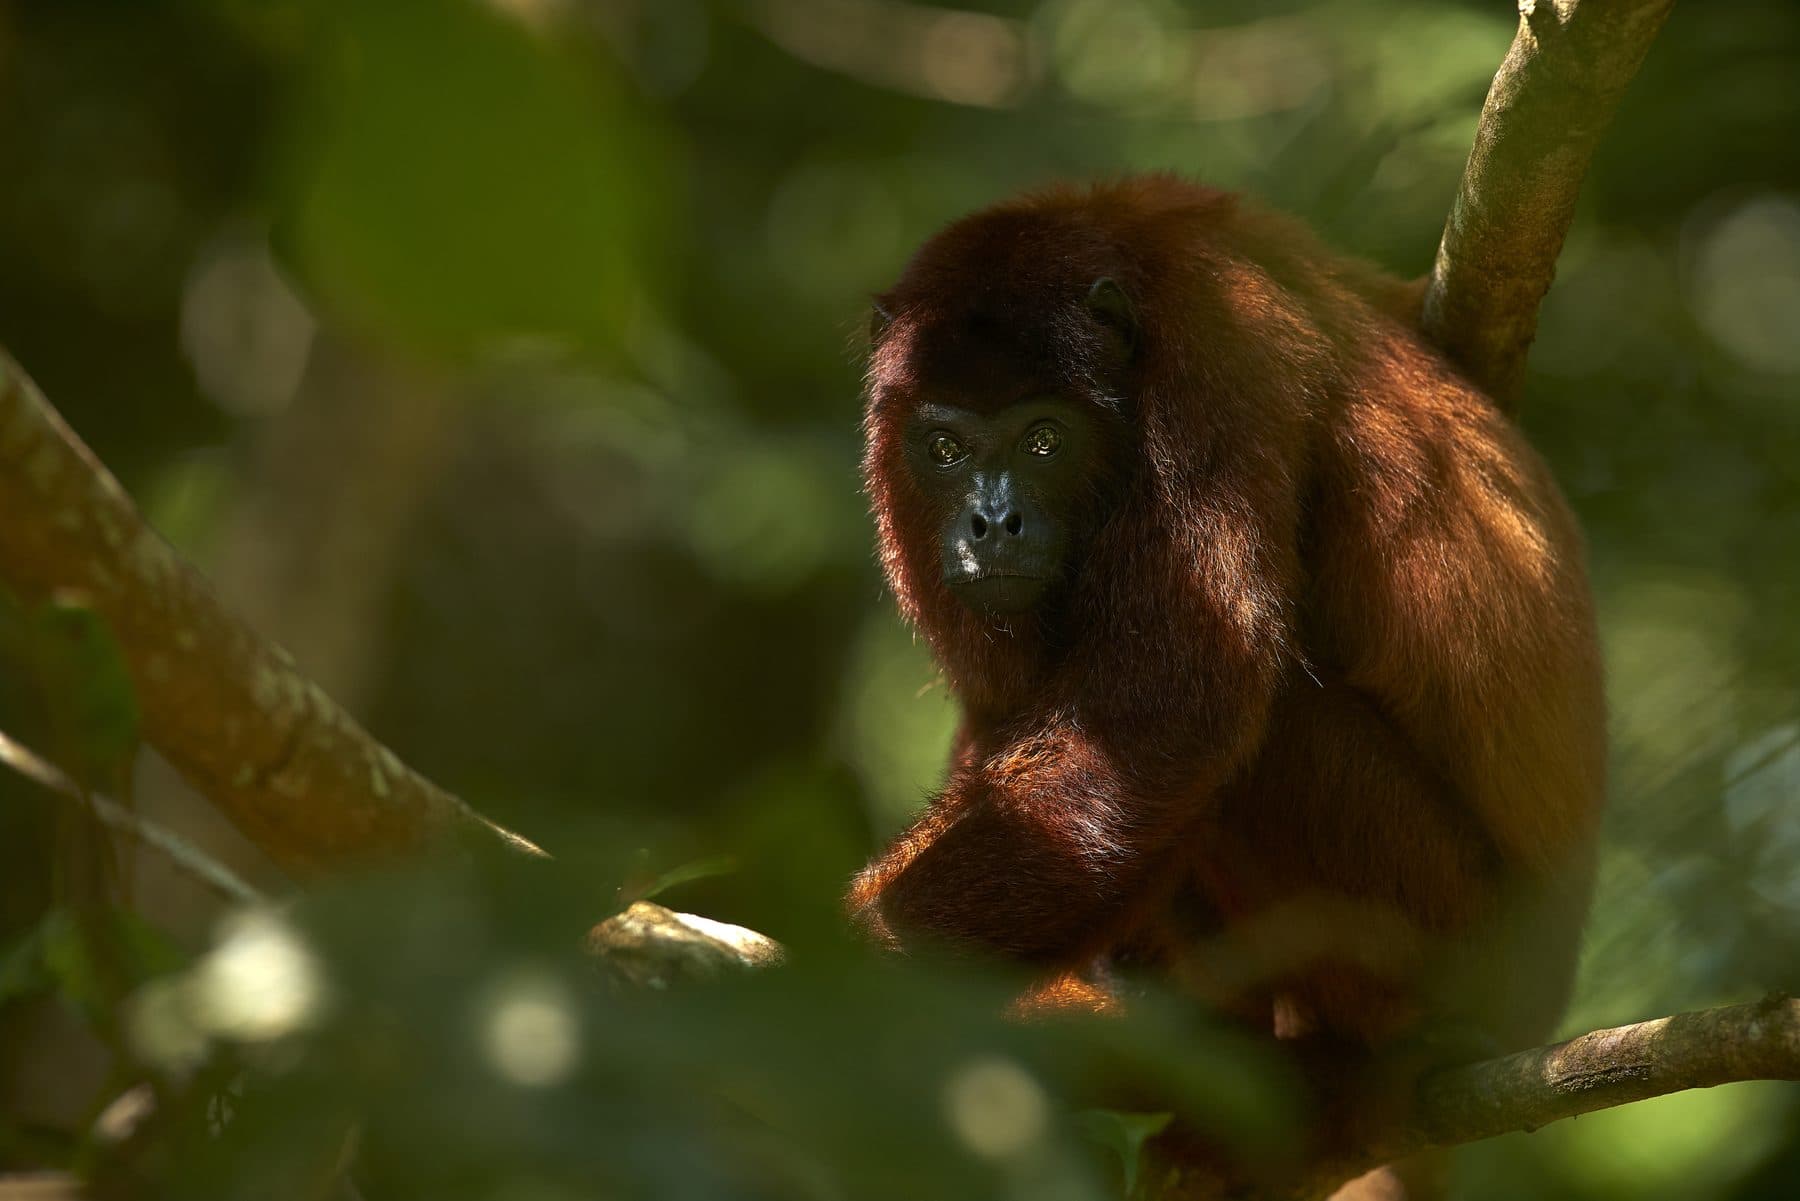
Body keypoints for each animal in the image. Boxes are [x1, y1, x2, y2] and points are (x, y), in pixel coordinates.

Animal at [848, 176, 1605, 1195]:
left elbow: (1169, 714)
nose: (990, 523)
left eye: (1044, 440)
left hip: (1462, 936)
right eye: (943, 447)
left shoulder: (1212, 359)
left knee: (1271, 730)